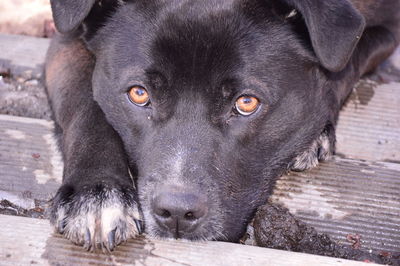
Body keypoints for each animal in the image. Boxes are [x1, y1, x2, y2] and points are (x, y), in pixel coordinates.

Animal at [45, 0, 398, 250]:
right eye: (138, 93)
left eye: (246, 102)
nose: (176, 213)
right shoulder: (66, 37)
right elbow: (86, 104)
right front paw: (98, 192)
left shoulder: (387, 26)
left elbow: (342, 69)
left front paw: (315, 132)